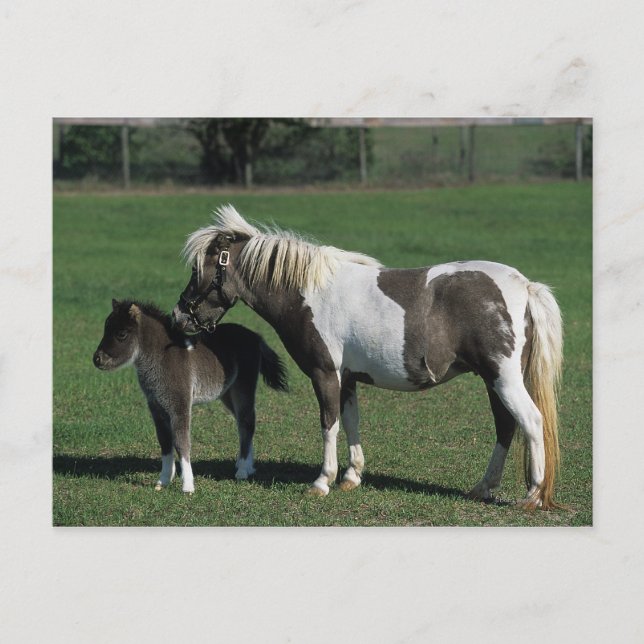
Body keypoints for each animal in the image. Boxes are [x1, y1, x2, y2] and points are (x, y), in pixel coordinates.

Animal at [93, 298, 288, 493]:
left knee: (247, 422)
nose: (97, 359)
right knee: (243, 423)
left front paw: (187, 486)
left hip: (243, 387)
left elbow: (181, 442)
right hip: (227, 392)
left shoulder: (180, 405)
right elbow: (165, 442)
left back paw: (242, 471)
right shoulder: (156, 407)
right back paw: (246, 465)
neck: (162, 357)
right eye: (105, 328)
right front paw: (163, 480)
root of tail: (255, 336)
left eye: (121, 334)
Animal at [172, 205, 563, 508]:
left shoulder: (325, 373)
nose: (179, 316)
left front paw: (322, 481)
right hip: (493, 379)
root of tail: (523, 286)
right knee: (506, 425)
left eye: (199, 270)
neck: (308, 293)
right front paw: (351, 476)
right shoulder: (347, 379)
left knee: (531, 421)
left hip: (503, 378)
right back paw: (484, 488)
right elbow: (351, 422)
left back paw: (532, 495)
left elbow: (329, 424)